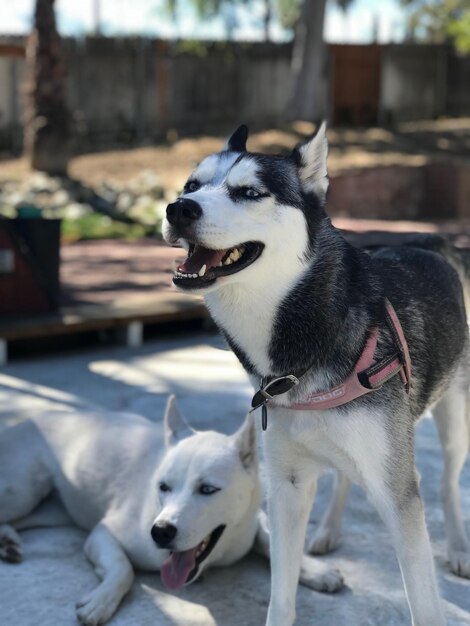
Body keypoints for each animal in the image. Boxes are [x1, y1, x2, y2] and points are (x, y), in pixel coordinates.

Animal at [0, 398, 340, 620]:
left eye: (208, 489)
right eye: (163, 487)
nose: (160, 533)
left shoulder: (253, 521)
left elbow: (274, 543)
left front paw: (316, 570)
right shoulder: (102, 533)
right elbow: (122, 568)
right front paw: (102, 600)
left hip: (44, 507)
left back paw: (7, 541)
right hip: (22, 491)